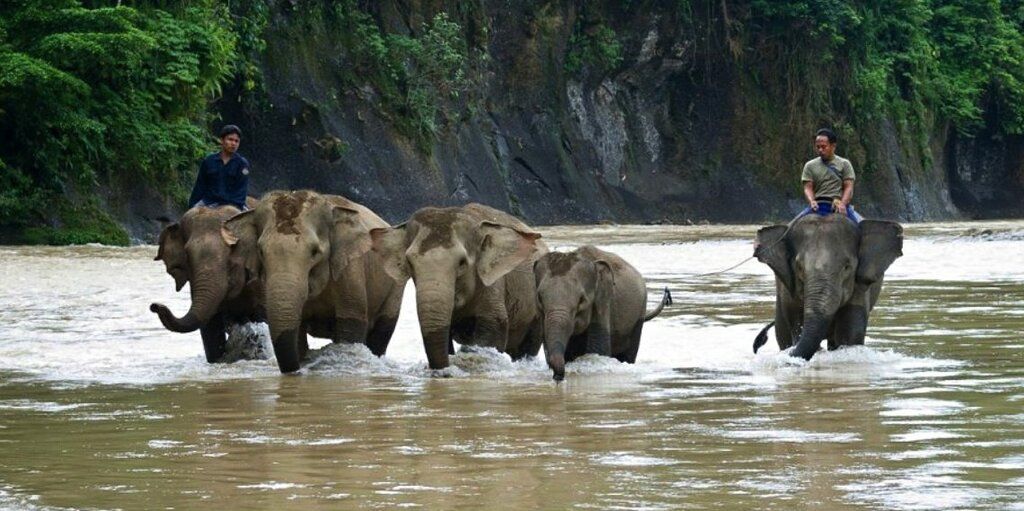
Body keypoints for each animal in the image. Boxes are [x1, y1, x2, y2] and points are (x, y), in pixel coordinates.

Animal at [221, 190, 406, 373]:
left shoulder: (350, 271)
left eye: (315, 251)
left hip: (395, 287)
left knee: (381, 333)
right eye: (260, 251)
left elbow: (351, 324)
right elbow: (298, 332)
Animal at [534, 245, 673, 380]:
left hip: (639, 314)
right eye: (539, 298)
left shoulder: (603, 299)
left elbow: (598, 348)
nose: (558, 377)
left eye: (581, 300)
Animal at [752, 214, 903, 360]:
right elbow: (797, 327)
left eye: (847, 267)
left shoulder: (860, 286)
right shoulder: (788, 291)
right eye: (799, 267)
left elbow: (849, 335)